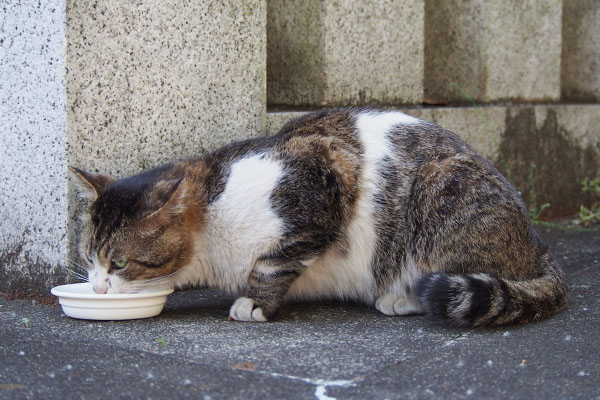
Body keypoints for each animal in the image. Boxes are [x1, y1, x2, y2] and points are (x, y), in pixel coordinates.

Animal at [71, 108, 568, 326]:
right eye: (90, 257)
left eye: (119, 262)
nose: (98, 286)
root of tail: (538, 247)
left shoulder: (325, 171)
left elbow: (273, 262)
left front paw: (256, 302)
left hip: (440, 187)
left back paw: (404, 296)